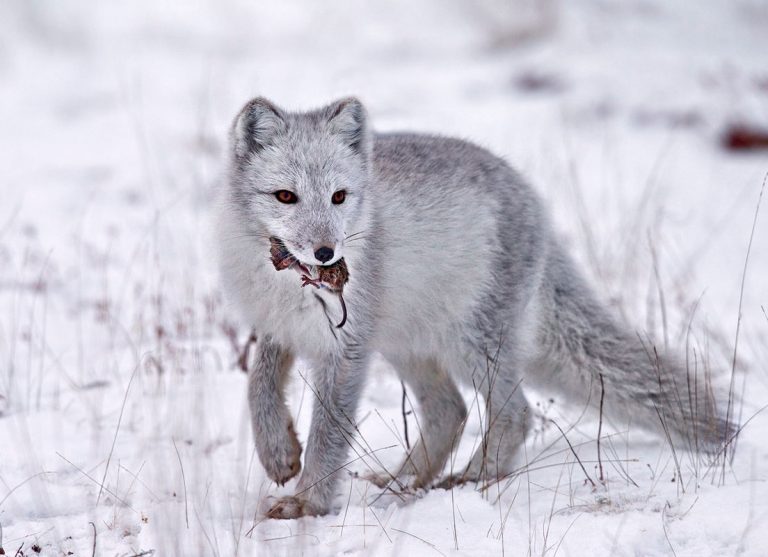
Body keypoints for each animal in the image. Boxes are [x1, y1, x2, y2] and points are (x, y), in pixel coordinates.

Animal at [216, 95, 732, 516]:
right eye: (286, 196)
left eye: (339, 197)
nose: (327, 253)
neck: (289, 286)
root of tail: (532, 199)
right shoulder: (277, 327)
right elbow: (258, 387)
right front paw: (279, 454)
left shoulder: (346, 351)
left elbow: (328, 432)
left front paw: (308, 504)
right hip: (407, 345)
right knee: (451, 411)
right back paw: (404, 481)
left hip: (473, 344)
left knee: (515, 414)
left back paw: (469, 480)